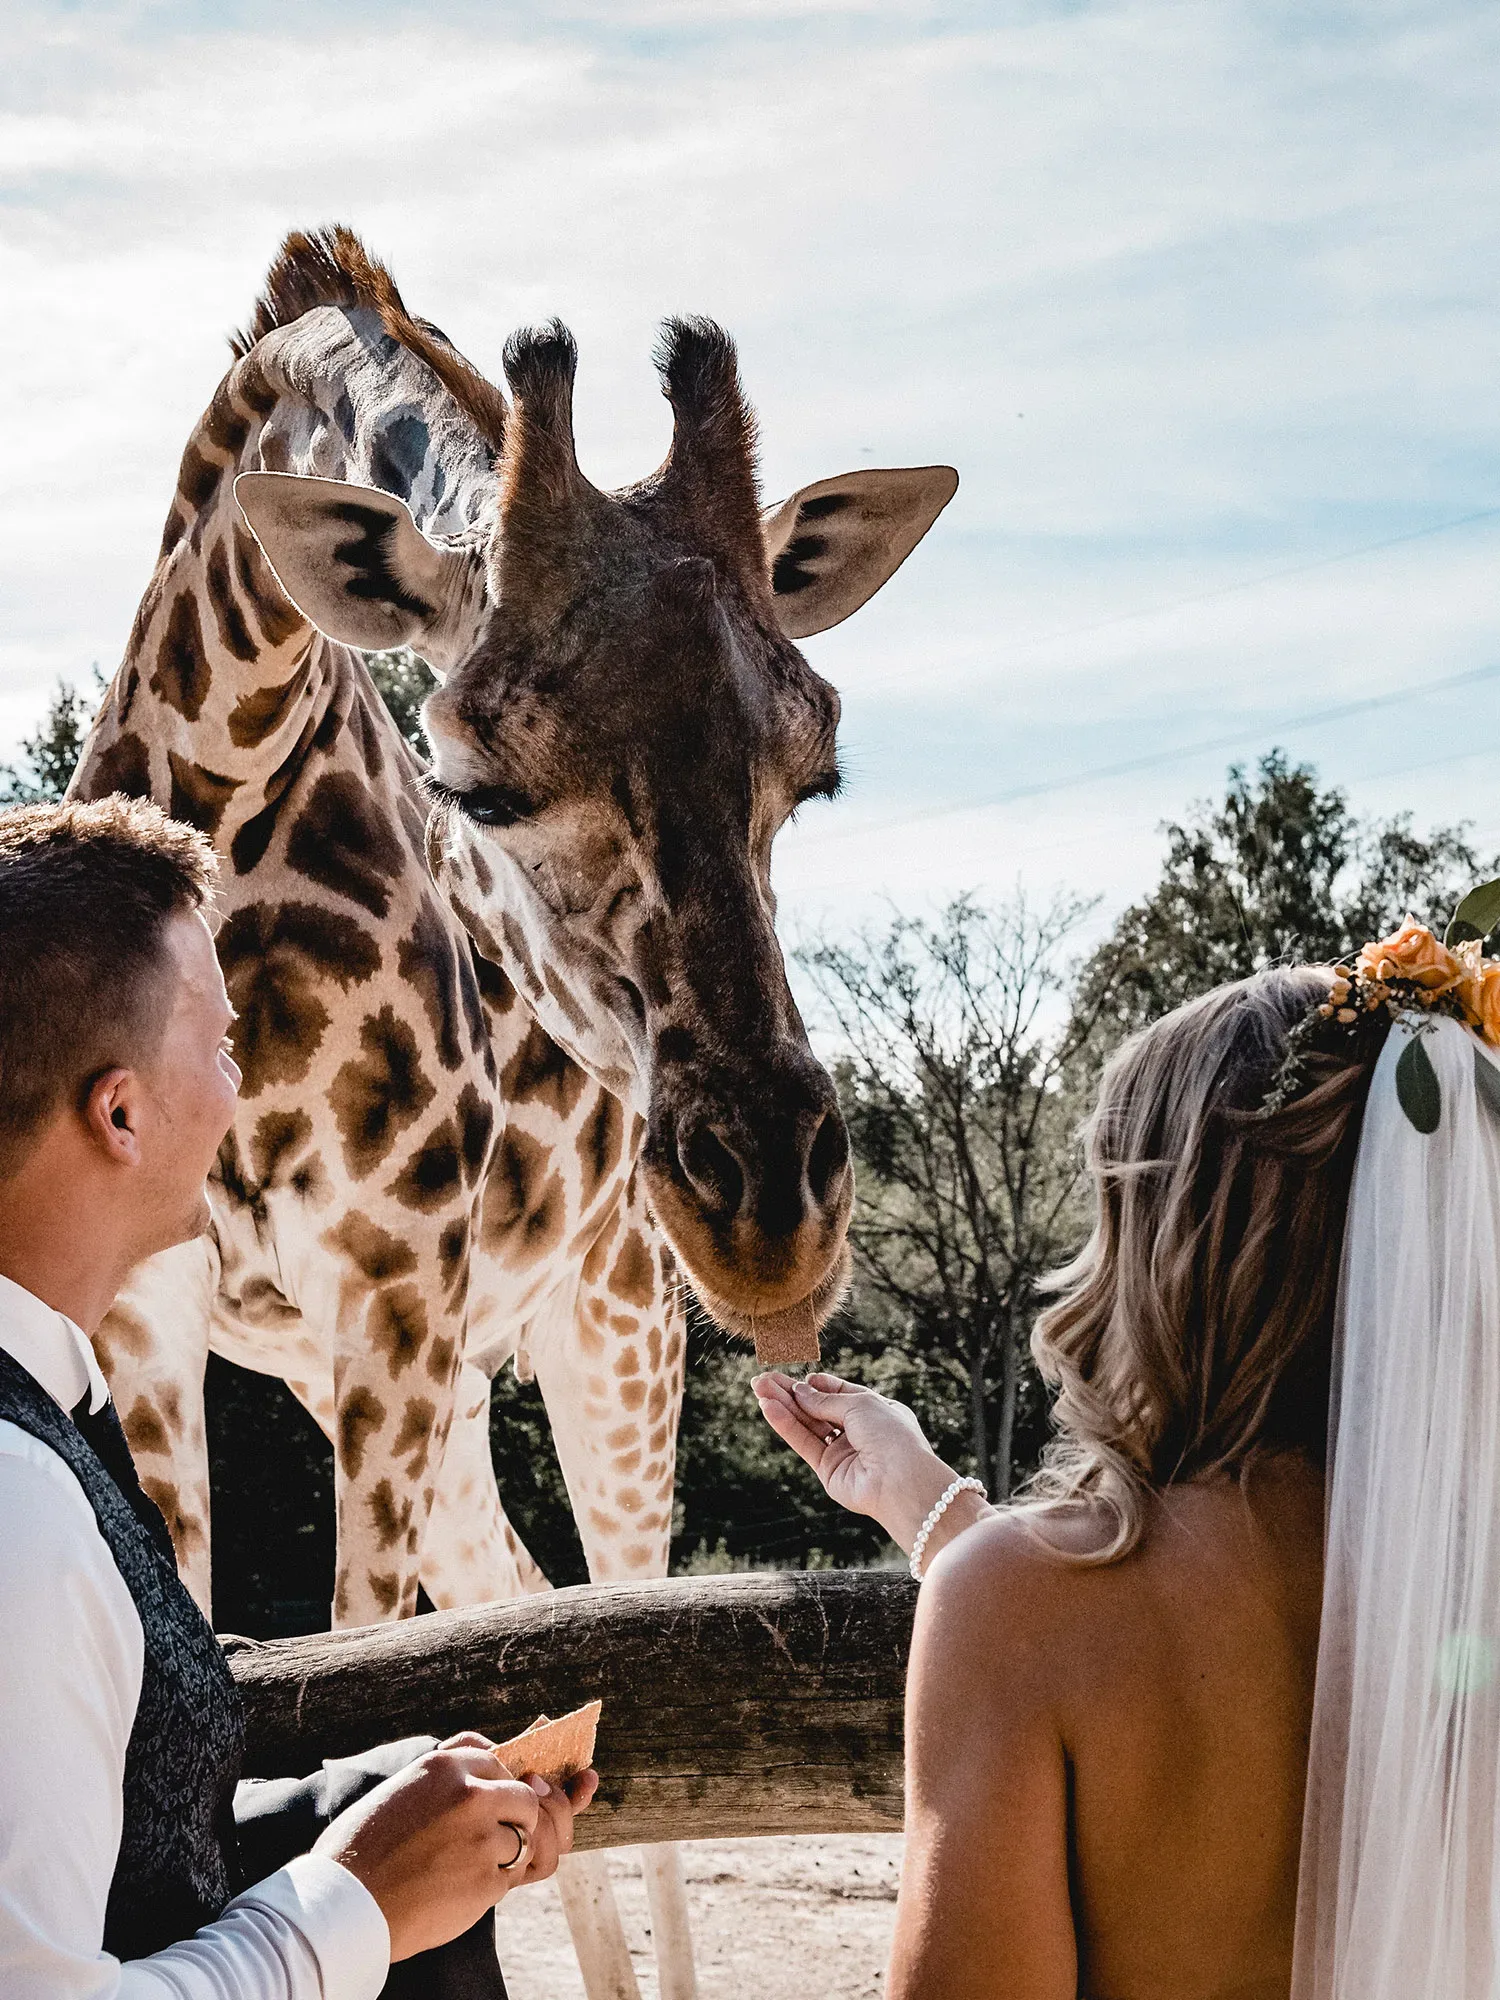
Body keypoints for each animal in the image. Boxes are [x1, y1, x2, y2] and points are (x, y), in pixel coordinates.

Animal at [69, 227, 955, 1998]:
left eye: (811, 771)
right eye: (472, 784)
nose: (773, 1221)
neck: (225, 776)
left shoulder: (397, 1295)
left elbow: (374, 1658)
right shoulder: (160, 1321)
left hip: (607, 1340)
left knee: (631, 1625)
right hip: (439, 1387)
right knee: (534, 1616)